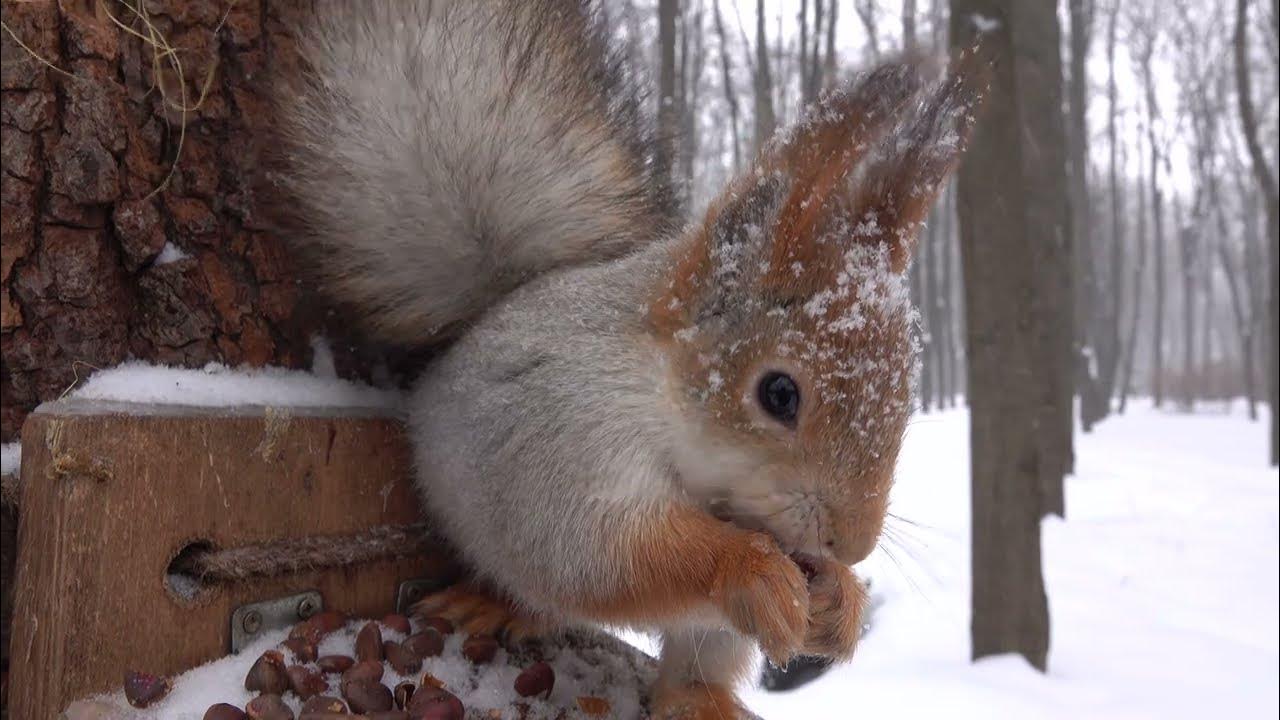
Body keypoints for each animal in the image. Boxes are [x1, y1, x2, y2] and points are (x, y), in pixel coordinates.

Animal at [267, 2, 981, 717]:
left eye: (904, 401)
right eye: (779, 394)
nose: (853, 543)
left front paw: (840, 598)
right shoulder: (568, 434)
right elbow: (602, 550)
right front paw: (751, 569)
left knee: (693, 666)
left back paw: (704, 699)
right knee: (544, 591)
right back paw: (495, 606)